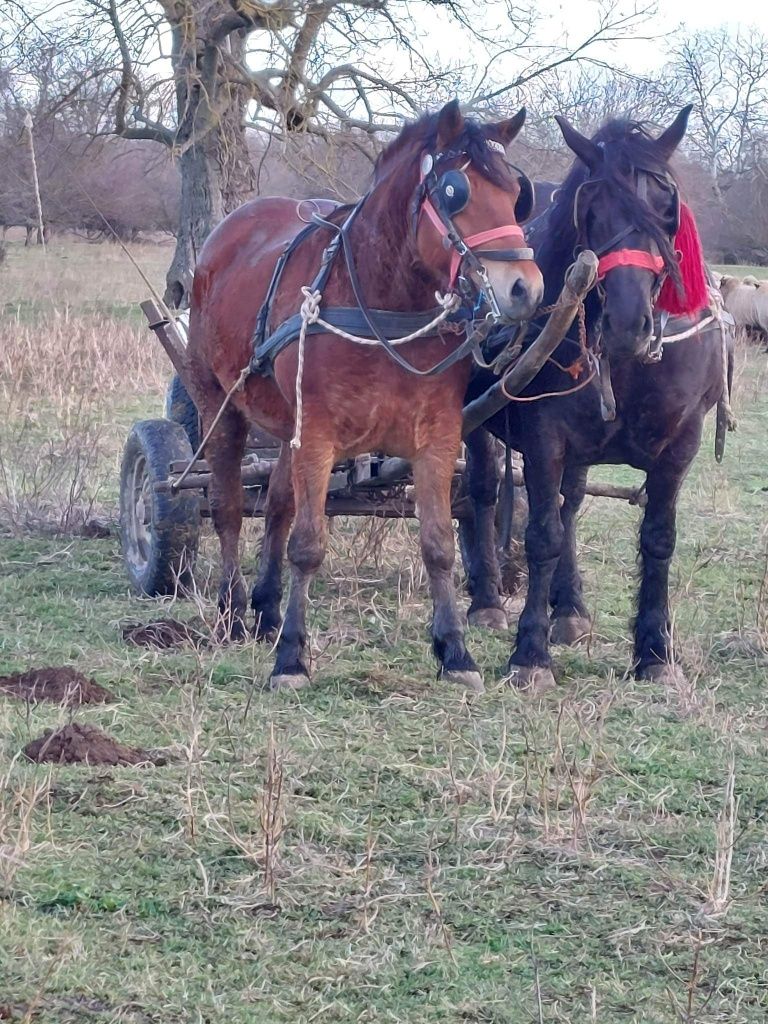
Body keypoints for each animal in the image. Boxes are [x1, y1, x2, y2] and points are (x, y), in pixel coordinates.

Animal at [186, 99, 548, 692]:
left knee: (278, 504)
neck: (382, 301)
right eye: (455, 190)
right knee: (230, 506)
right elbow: (308, 544)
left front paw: (456, 652)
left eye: (518, 193)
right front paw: (292, 658)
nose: (526, 289)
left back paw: (266, 608)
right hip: (216, 401)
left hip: (285, 423)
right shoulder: (318, 436)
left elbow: (438, 544)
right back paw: (232, 609)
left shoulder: (437, 436)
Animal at [462, 108, 733, 692]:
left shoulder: (682, 443)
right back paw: (488, 600)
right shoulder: (544, 438)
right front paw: (530, 653)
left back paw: (570, 608)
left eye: (666, 205)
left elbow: (657, 538)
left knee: (571, 503)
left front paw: (654, 649)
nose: (628, 324)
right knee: (483, 493)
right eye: (589, 210)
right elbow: (541, 535)